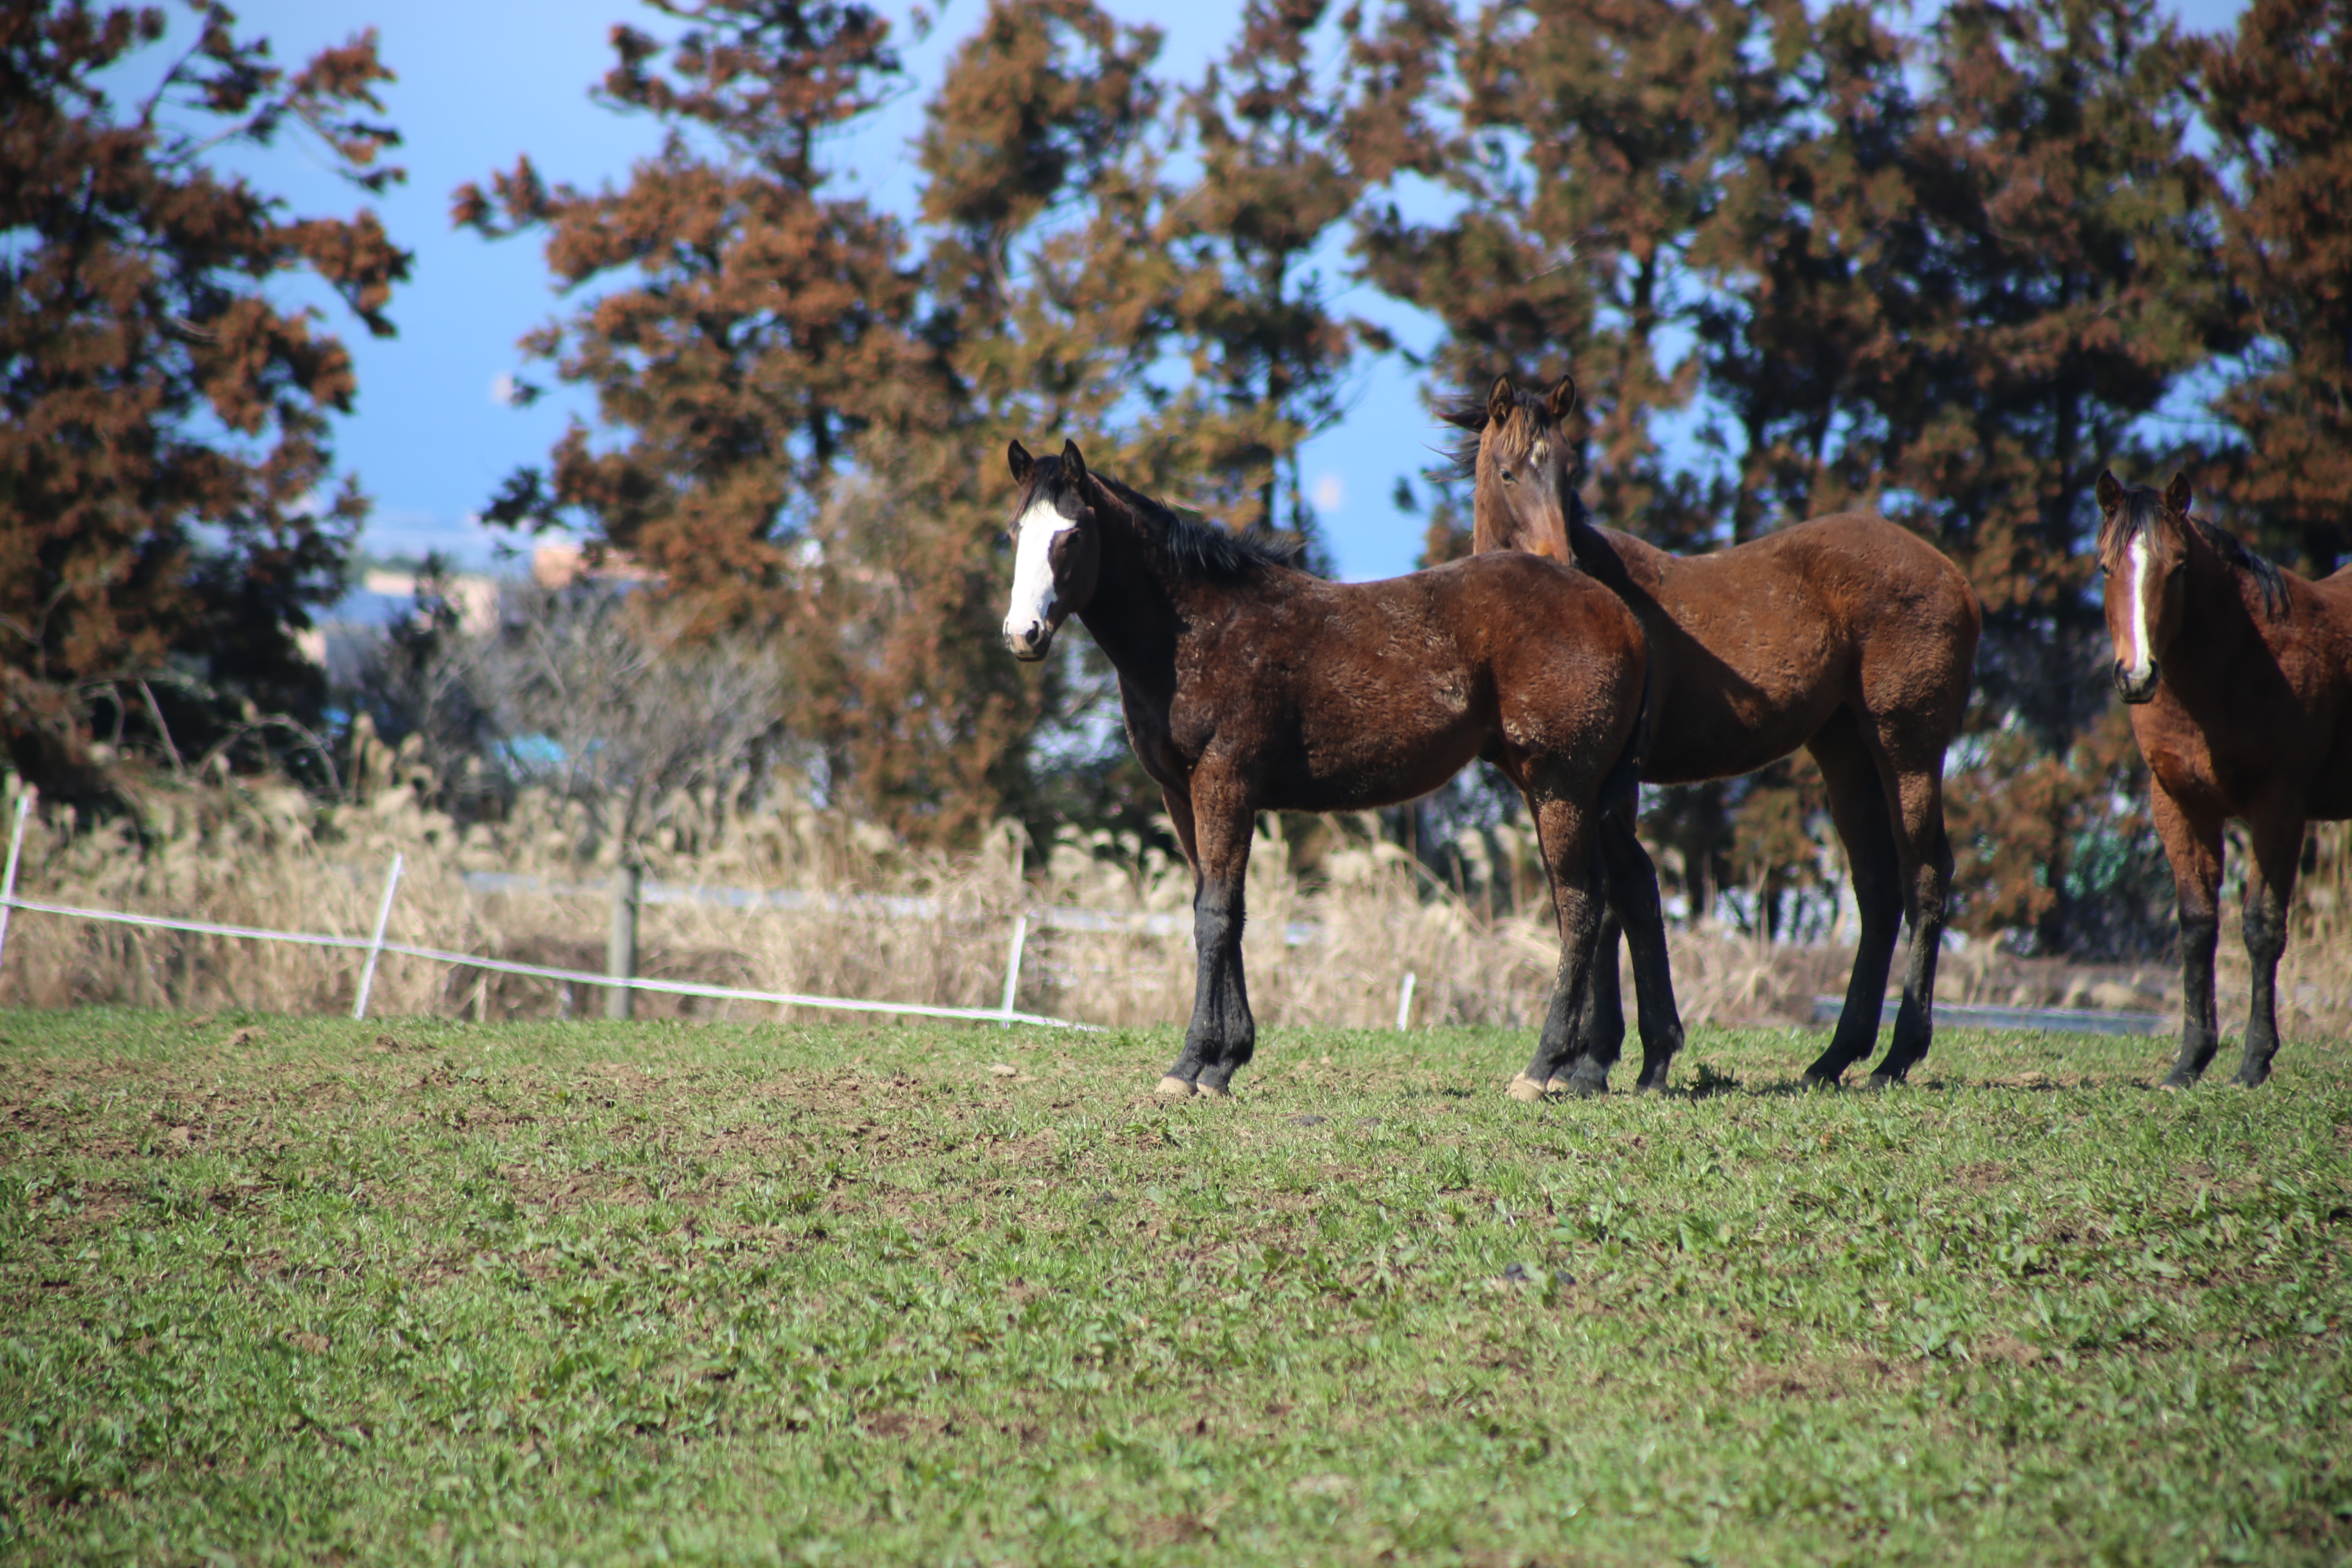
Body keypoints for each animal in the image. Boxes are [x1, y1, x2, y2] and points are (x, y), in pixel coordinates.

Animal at [992, 439, 1675, 1105]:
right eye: (1015, 532)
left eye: (1072, 534)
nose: (1023, 635)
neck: (1196, 632)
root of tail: (1621, 615)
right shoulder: (1181, 796)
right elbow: (1222, 909)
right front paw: (1226, 1062)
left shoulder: (1224, 782)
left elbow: (1214, 915)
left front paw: (1190, 1067)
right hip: (1584, 794)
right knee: (1630, 889)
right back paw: (1643, 1065)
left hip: (1561, 786)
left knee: (1580, 905)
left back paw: (1542, 1069)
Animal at [1449, 381, 1985, 1091]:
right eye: (1508, 473)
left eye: (1569, 471)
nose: (1561, 566)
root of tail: (1955, 578)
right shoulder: (1596, 789)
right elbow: (1617, 898)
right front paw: (1600, 1059)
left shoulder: (1598, 785)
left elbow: (1612, 898)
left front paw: (1595, 1062)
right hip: (1845, 752)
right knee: (1876, 889)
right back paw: (1834, 1057)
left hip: (1909, 750)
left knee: (1924, 875)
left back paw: (1897, 1056)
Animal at [2098, 472, 2352, 1091]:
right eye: (2105, 567)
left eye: (2179, 566)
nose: (2136, 675)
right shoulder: (2179, 805)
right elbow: (2197, 925)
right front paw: (2191, 1059)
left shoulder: (2278, 808)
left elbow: (2261, 927)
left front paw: (2255, 1059)